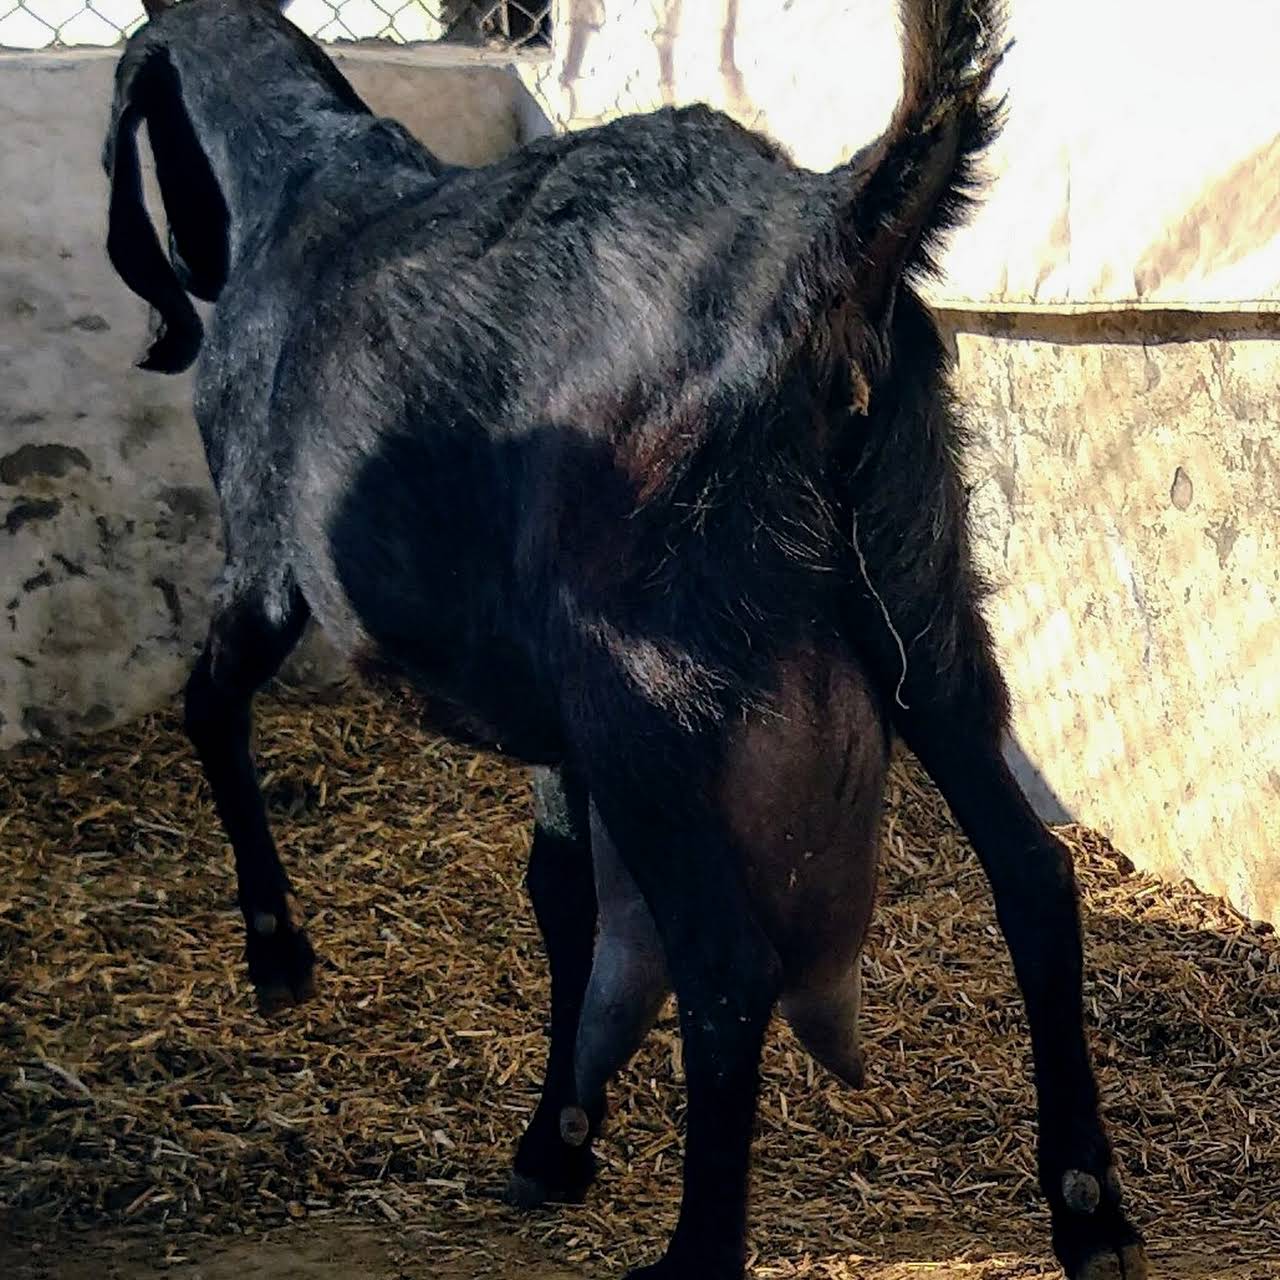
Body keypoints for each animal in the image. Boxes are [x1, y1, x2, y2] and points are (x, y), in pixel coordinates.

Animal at [102, 1, 1150, 1276]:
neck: (305, 183)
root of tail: (828, 232)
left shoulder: (266, 560)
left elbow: (210, 704)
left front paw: (275, 950)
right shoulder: (549, 708)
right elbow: (561, 892)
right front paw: (555, 1136)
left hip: (648, 689)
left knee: (727, 960)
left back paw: (697, 1250)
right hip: (922, 617)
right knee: (1033, 876)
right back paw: (1085, 1206)